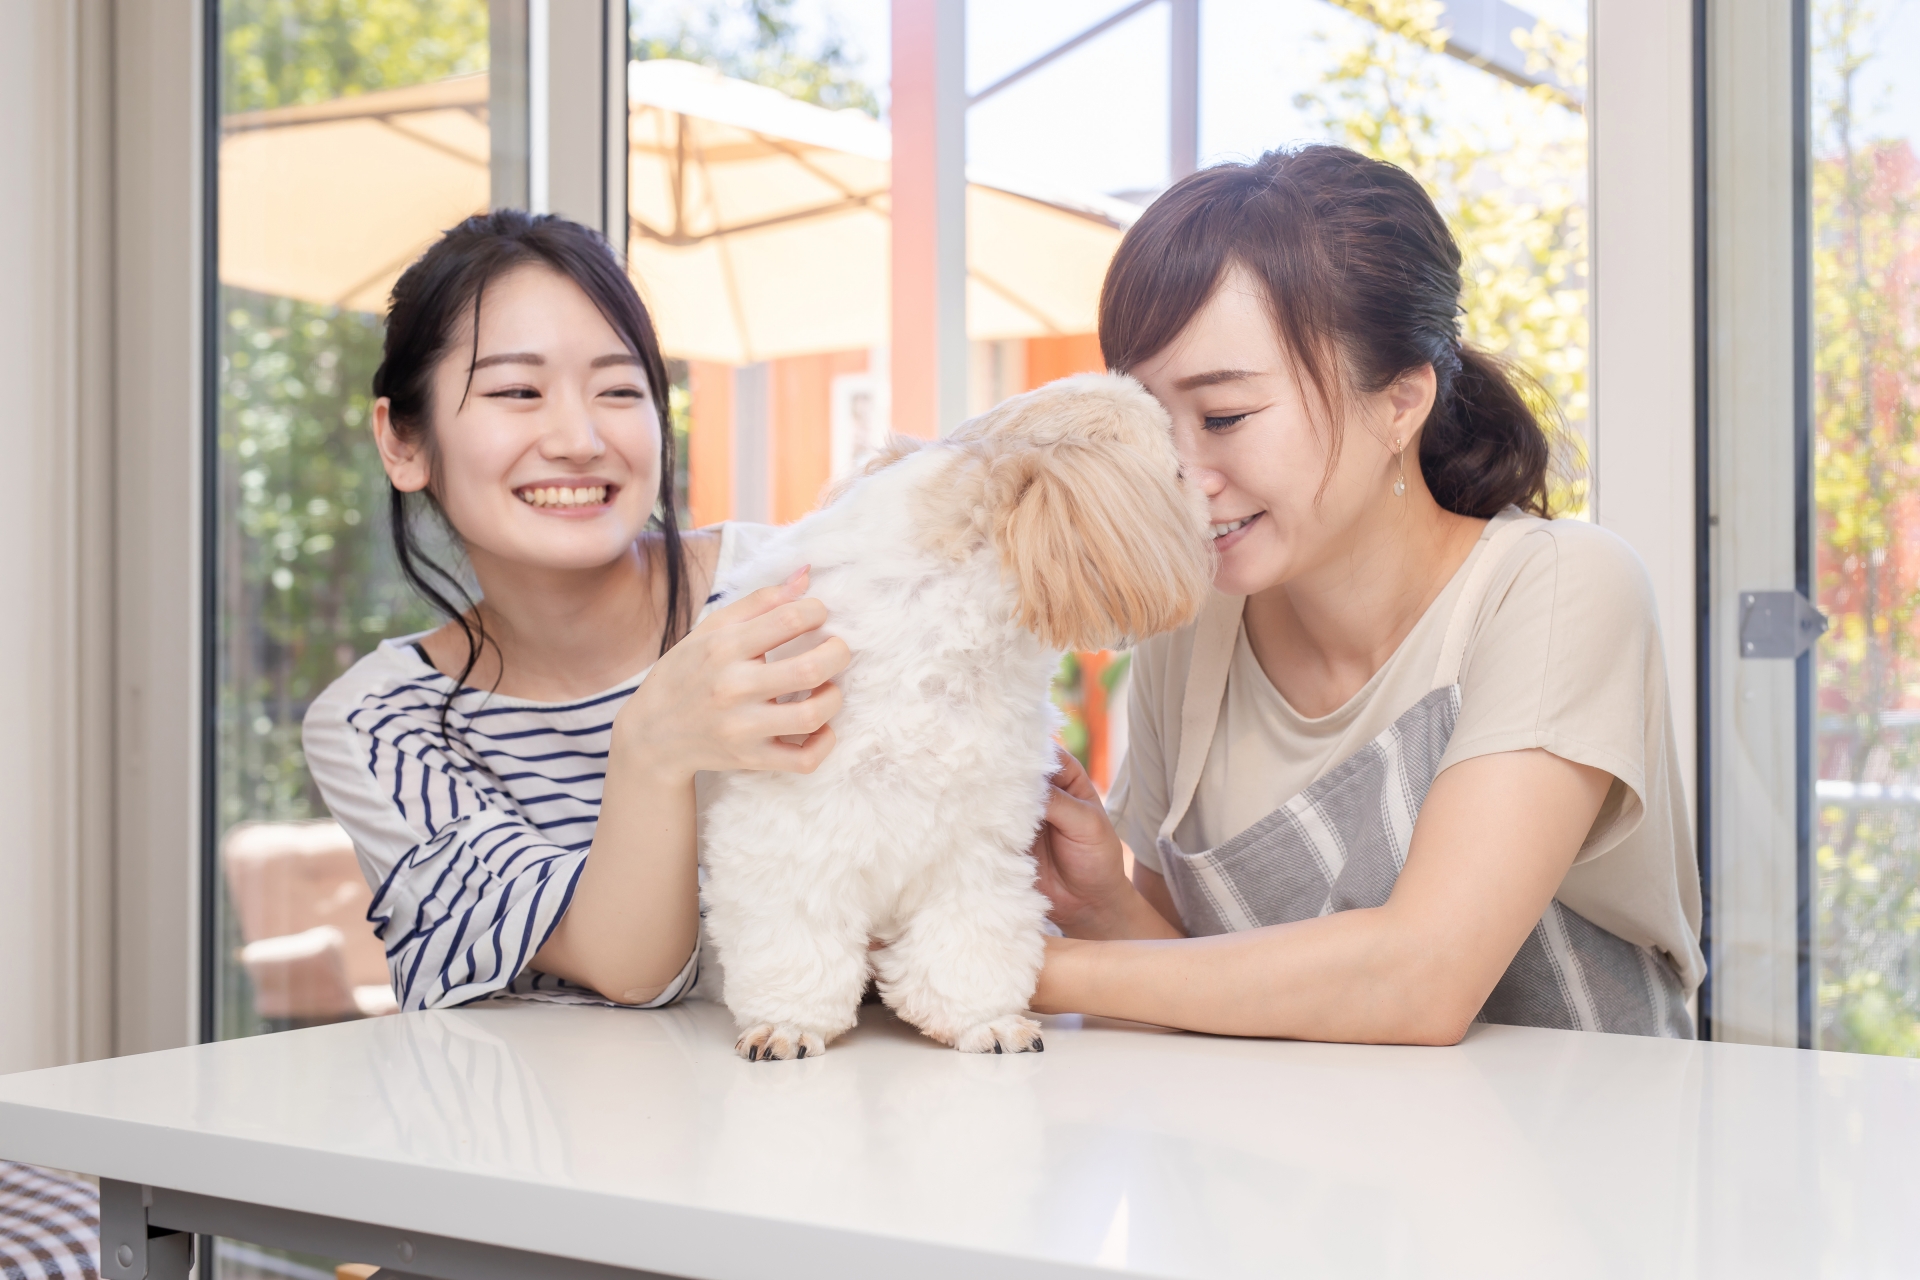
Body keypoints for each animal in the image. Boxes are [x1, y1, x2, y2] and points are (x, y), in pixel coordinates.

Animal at [706, 370, 1205, 1059]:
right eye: (1179, 471)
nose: (1209, 491)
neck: (940, 664)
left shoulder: (977, 841)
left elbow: (970, 940)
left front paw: (983, 1020)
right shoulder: (787, 830)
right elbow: (796, 938)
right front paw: (788, 1022)